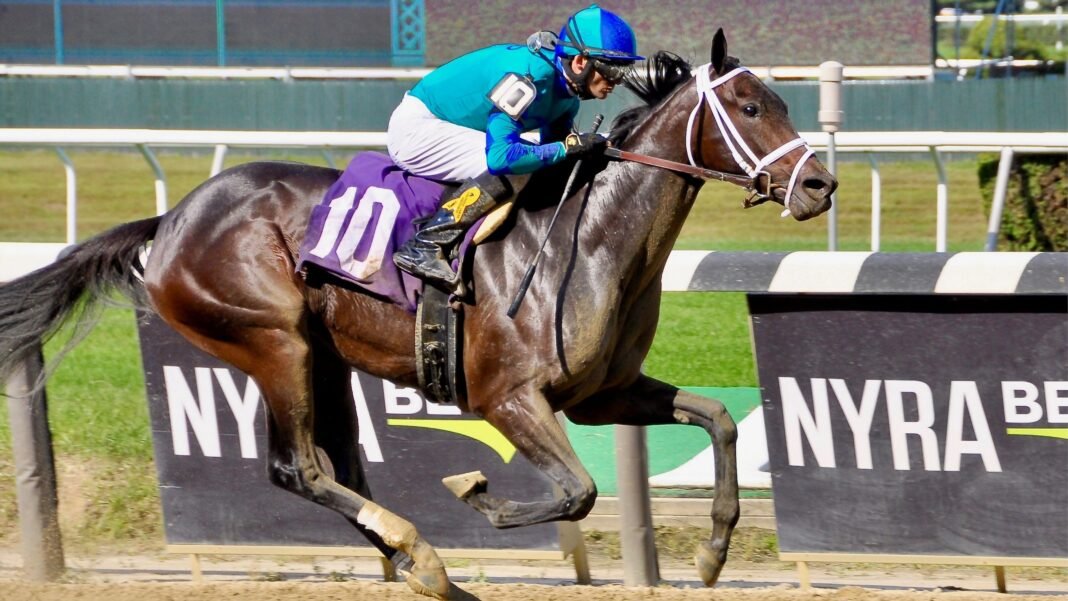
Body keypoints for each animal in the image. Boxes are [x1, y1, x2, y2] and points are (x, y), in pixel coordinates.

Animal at [0, 30, 834, 599]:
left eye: (784, 103)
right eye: (750, 106)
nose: (819, 185)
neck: (590, 237)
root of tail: (171, 219)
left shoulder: (603, 394)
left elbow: (717, 420)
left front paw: (712, 550)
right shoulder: (508, 396)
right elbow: (577, 490)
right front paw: (479, 494)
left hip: (321, 355)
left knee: (338, 465)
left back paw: (420, 565)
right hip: (271, 340)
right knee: (298, 466)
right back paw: (419, 551)